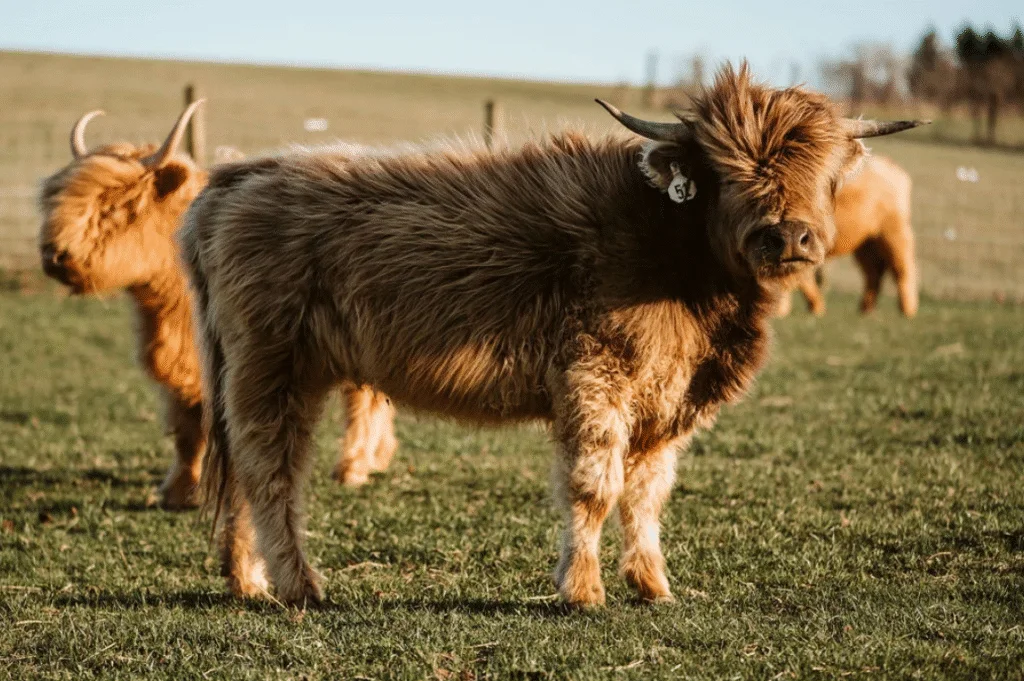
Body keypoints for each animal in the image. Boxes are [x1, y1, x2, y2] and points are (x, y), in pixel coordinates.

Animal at [37, 104, 397, 510]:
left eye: (116, 203)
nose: (53, 255)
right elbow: (187, 426)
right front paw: (179, 490)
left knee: (362, 399)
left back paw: (353, 467)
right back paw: (377, 457)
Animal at [776, 154, 917, 317]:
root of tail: (893, 166)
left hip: (892, 232)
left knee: (903, 269)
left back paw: (907, 311)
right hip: (866, 242)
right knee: (873, 272)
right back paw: (865, 310)